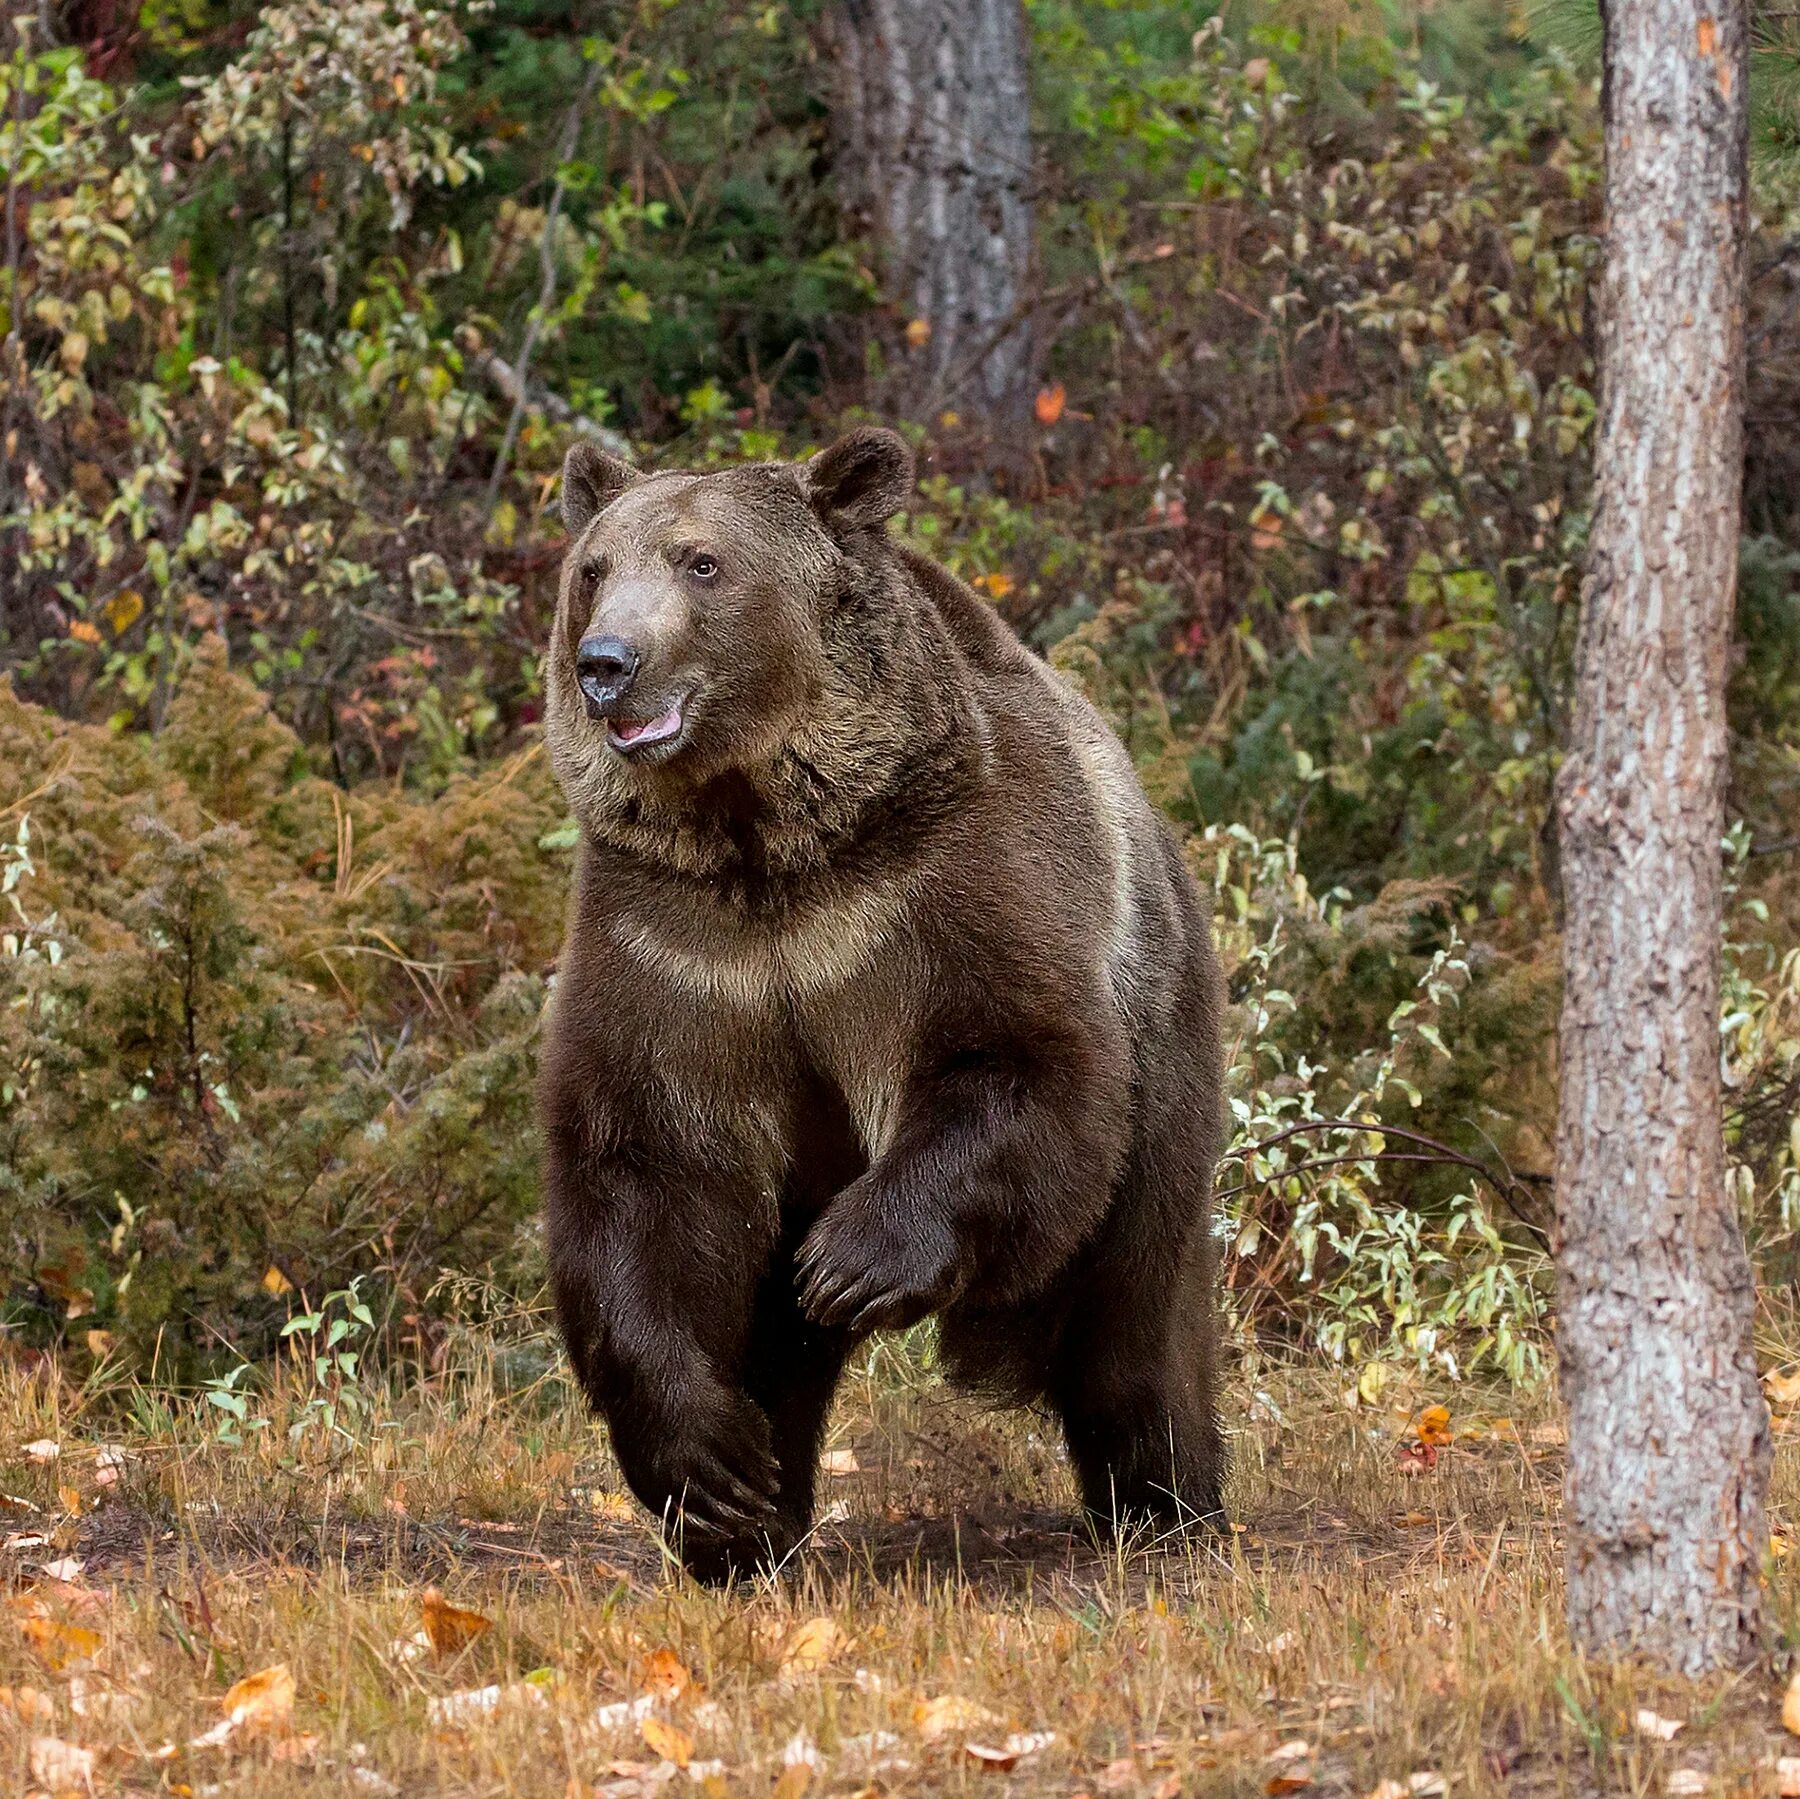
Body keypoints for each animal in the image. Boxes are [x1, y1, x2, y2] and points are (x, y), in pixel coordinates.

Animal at [540, 424, 1231, 1577]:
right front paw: (710, 1470)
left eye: (701, 561)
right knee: (774, 1339)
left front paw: (852, 1262)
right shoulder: (674, 945)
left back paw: (1165, 1505)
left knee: (1135, 1319)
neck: (772, 841)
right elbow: (646, 1165)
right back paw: (751, 1526)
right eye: (592, 569)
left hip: (1165, 1043)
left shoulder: (943, 885)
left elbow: (1015, 1060)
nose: (608, 664)